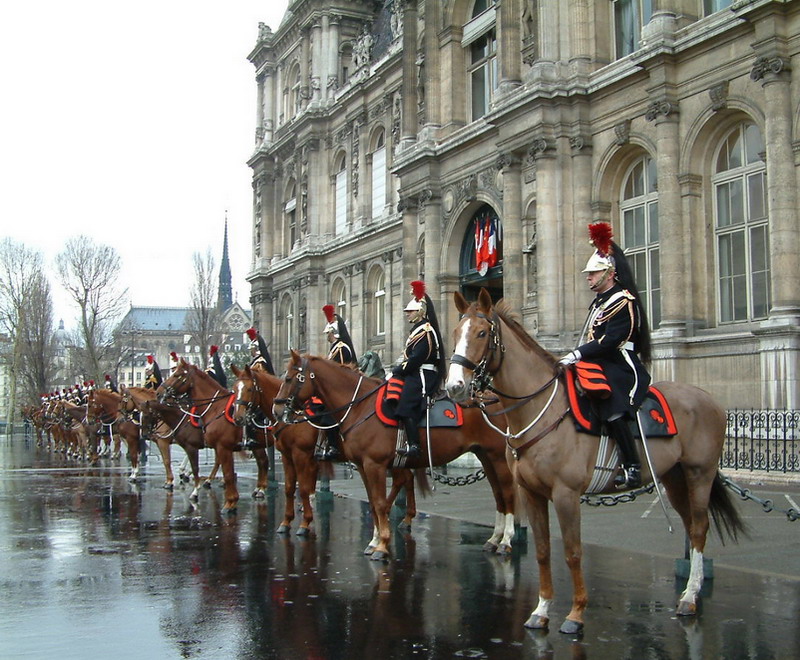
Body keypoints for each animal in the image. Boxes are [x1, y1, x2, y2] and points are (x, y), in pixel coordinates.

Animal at [159, 360, 272, 510]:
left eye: (176, 375)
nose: (159, 392)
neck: (215, 408)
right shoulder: (218, 446)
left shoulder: (220, 447)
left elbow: (224, 473)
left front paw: (229, 501)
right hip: (258, 445)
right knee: (263, 462)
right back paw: (259, 489)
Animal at [230, 364, 418, 540]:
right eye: (234, 389)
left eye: (249, 389)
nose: (238, 417)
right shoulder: (288, 456)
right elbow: (291, 488)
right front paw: (286, 522)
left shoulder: (301, 454)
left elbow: (304, 488)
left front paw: (305, 523)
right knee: (407, 478)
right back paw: (405, 517)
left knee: (402, 479)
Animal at [272, 354, 516, 560]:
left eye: (290, 378)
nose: (277, 411)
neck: (359, 406)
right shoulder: (362, 465)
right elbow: (372, 502)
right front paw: (375, 540)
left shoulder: (374, 465)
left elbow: (378, 502)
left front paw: (382, 545)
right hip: (485, 456)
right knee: (497, 494)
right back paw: (494, 539)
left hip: (498, 457)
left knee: (508, 493)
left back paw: (506, 541)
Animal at [444, 290, 744, 636]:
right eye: (455, 332)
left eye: (482, 333)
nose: (454, 387)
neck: (538, 410)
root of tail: (709, 399)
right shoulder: (531, 493)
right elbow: (543, 551)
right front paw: (541, 610)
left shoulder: (566, 494)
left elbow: (573, 552)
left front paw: (575, 614)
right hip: (674, 477)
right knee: (691, 527)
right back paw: (688, 594)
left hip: (700, 474)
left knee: (699, 528)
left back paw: (691, 597)